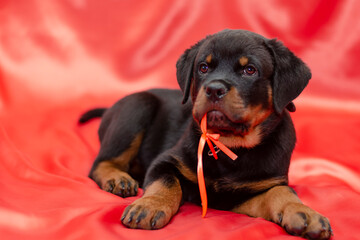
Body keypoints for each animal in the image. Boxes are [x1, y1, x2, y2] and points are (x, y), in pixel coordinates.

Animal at [81, 29, 332, 239]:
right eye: (203, 67)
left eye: (249, 70)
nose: (213, 89)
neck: (229, 144)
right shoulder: (165, 161)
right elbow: (166, 182)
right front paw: (148, 206)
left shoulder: (242, 193)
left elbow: (280, 191)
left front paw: (304, 213)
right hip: (138, 105)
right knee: (100, 163)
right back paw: (118, 179)